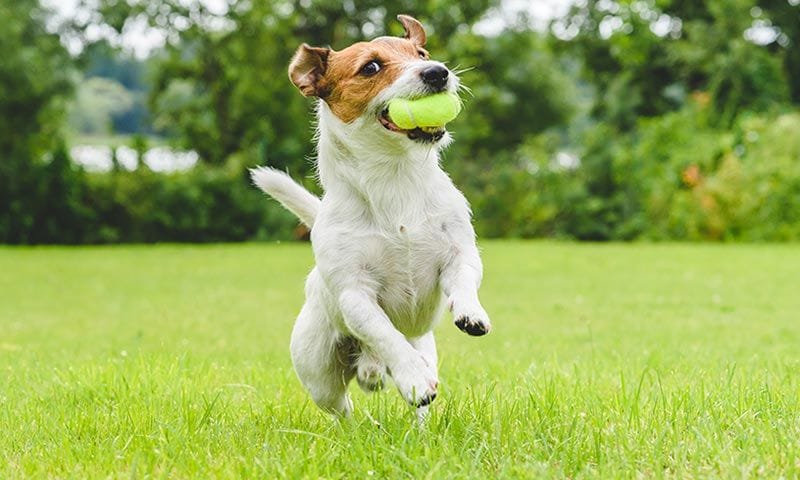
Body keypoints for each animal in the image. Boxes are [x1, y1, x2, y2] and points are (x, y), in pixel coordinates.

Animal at [250, 13, 490, 414]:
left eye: (421, 54)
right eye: (371, 67)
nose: (437, 72)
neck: (395, 179)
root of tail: (366, 363)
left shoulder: (459, 253)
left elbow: (464, 280)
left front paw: (471, 312)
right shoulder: (355, 294)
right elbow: (384, 333)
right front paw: (412, 377)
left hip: (423, 345)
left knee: (418, 401)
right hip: (320, 375)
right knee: (343, 408)